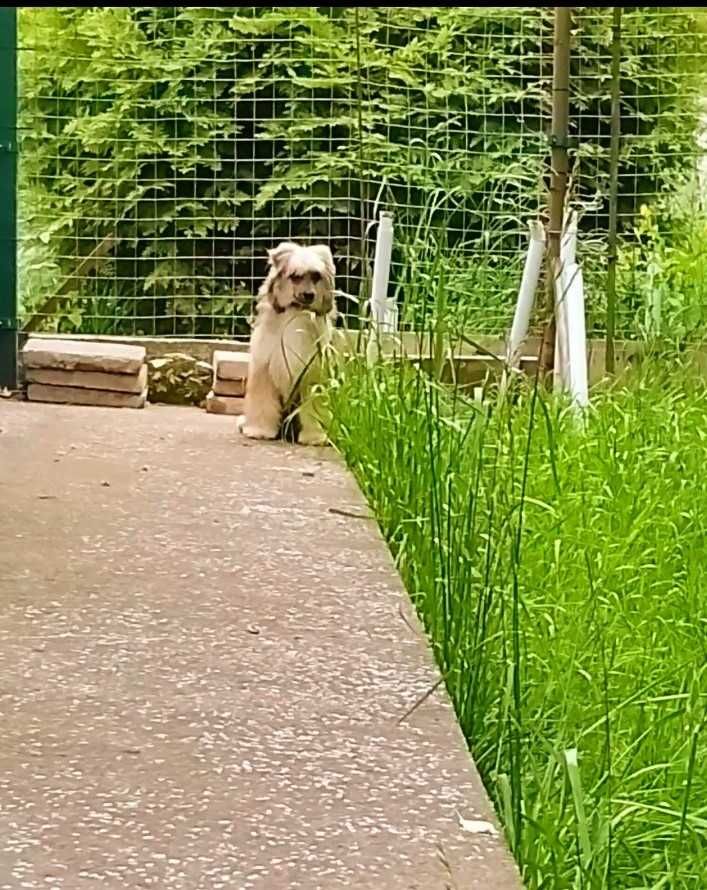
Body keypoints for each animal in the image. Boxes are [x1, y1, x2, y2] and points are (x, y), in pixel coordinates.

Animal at [237, 241, 336, 446]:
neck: (296, 313)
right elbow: (263, 403)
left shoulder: (312, 376)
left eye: (316, 276)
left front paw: (315, 436)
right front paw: (260, 430)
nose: (309, 295)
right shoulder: (264, 370)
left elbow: (314, 407)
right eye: (295, 276)